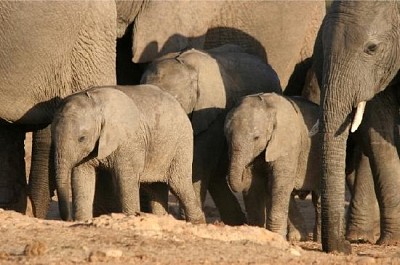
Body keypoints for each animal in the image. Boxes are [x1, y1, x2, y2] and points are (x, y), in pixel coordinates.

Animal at [51, 84, 205, 223]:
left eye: (82, 138)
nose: (67, 219)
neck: (96, 103)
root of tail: (180, 106)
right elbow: (82, 176)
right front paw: (83, 221)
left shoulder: (129, 141)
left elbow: (125, 180)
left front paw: (130, 217)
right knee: (155, 188)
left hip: (181, 143)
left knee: (179, 184)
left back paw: (197, 223)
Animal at [141, 45, 282, 225]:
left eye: (176, 105)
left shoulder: (212, 115)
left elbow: (198, 164)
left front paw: (186, 220)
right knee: (216, 176)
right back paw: (236, 221)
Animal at [225, 92, 322, 239]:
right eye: (227, 136)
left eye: (256, 138)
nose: (244, 171)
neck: (267, 106)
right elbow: (255, 186)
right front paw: (257, 232)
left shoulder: (287, 144)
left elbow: (280, 183)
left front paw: (275, 236)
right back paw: (297, 238)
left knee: (317, 198)